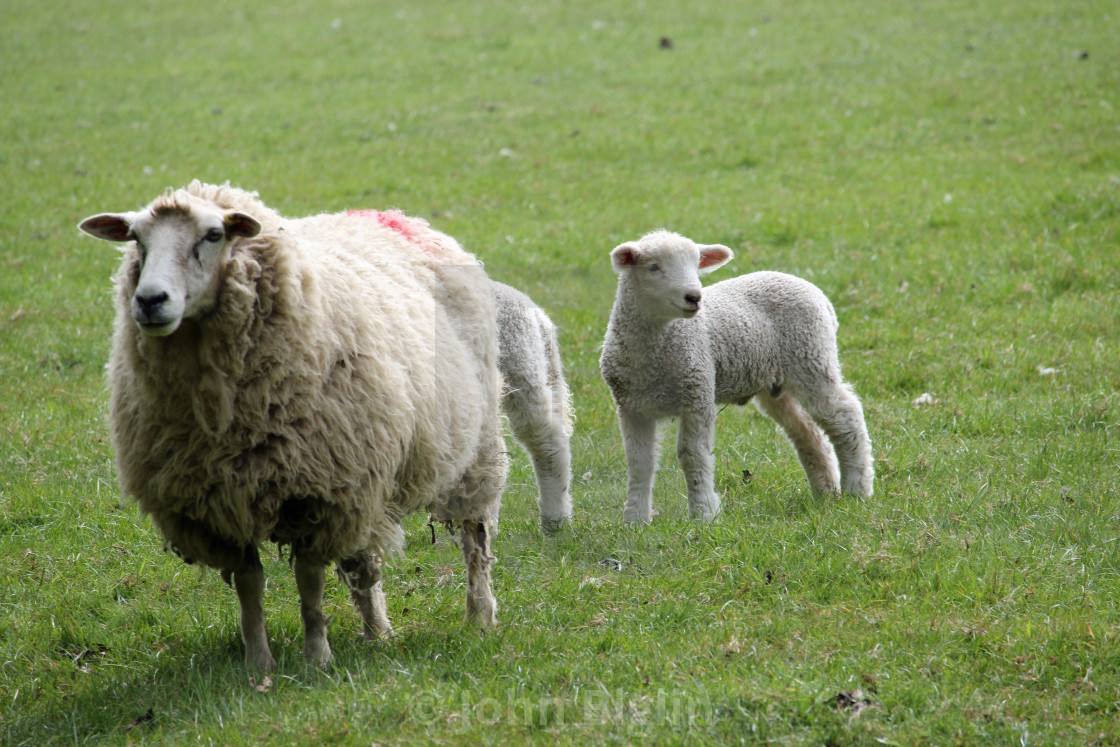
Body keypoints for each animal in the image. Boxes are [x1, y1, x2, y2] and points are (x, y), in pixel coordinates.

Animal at [74, 182, 504, 671]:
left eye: (214, 234)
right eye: (137, 239)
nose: (149, 301)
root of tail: (395, 216)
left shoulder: (317, 493)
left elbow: (309, 581)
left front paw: (317, 657)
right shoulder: (222, 502)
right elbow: (249, 584)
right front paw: (258, 663)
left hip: (473, 451)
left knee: (474, 540)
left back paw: (478, 617)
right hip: (363, 475)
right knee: (363, 565)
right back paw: (377, 632)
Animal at [604, 230, 873, 524]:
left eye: (696, 265)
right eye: (653, 267)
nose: (694, 297)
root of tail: (818, 294)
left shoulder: (697, 392)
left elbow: (692, 455)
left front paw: (704, 514)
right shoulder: (631, 407)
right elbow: (639, 462)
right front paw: (634, 520)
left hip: (812, 357)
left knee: (845, 414)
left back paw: (857, 489)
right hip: (778, 384)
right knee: (808, 432)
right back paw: (826, 493)